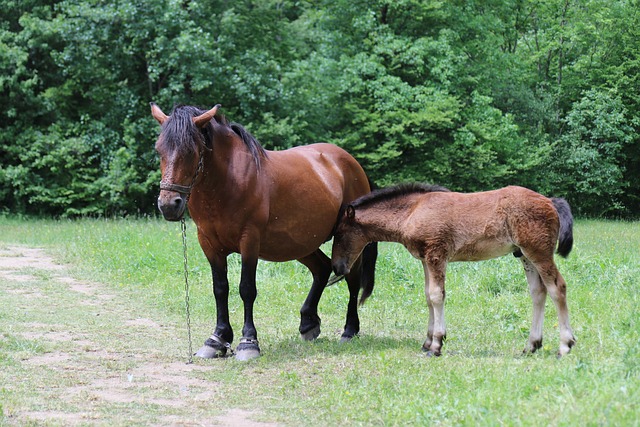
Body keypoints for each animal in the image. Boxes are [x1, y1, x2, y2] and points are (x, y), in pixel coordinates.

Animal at [150, 102, 378, 360]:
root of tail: (352, 163)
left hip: (348, 241)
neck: (226, 182)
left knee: (352, 279)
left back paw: (349, 330)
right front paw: (217, 339)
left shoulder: (250, 241)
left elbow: (246, 289)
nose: (169, 204)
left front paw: (248, 342)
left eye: (191, 151)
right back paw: (308, 323)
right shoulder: (209, 244)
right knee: (321, 269)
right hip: (300, 243)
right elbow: (220, 289)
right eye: (159, 150)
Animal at [331, 183, 577, 357]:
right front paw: (427, 342)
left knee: (558, 288)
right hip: (524, 255)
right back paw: (531, 346)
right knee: (538, 293)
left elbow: (436, 295)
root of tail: (550, 201)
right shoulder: (425, 259)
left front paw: (437, 344)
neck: (413, 211)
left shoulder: (436, 254)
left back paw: (565, 345)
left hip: (539, 252)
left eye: (340, 234)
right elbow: (428, 296)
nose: (337, 266)